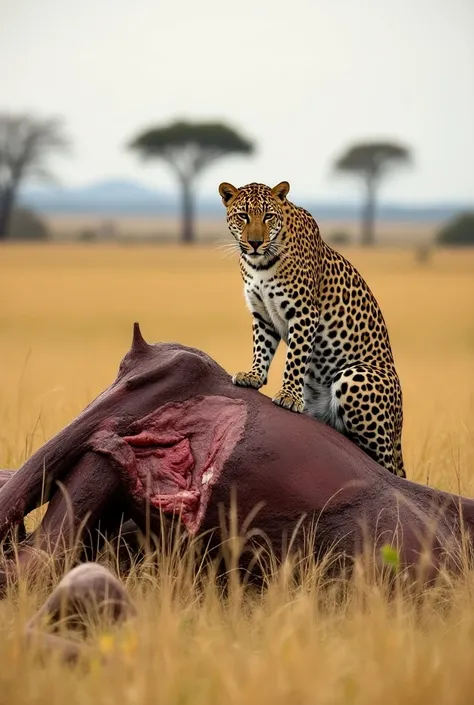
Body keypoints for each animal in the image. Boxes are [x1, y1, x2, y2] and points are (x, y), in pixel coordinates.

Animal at [220, 177, 406, 478]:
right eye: (243, 216)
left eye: (268, 216)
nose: (255, 243)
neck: (259, 264)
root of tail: (400, 422)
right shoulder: (262, 314)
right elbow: (261, 347)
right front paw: (254, 376)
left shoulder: (304, 312)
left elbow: (295, 358)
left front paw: (288, 396)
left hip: (355, 377)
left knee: (387, 466)